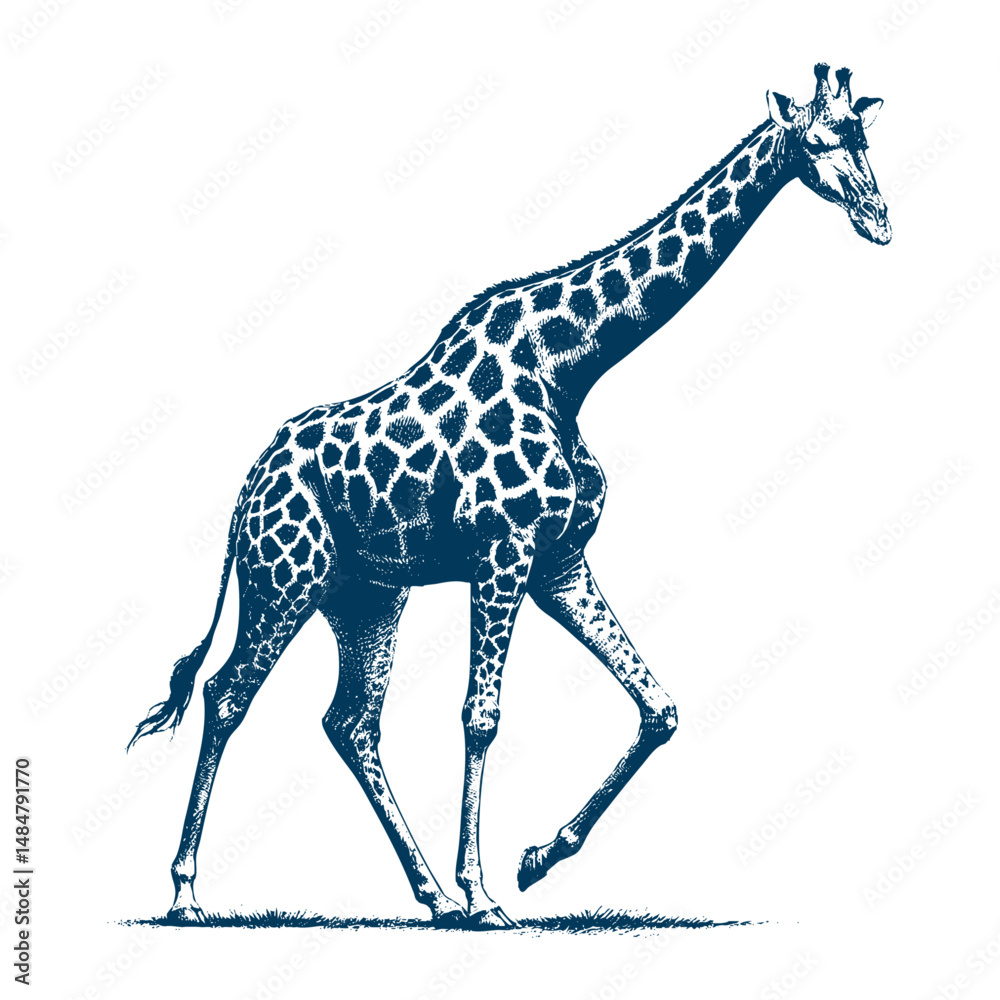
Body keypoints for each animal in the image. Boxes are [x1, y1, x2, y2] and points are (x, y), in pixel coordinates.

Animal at [130, 64, 890, 929]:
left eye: (866, 136)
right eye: (820, 140)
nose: (879, 219)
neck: (569, 368)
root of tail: (247, 486)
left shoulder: (558, 562)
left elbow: (657, 706)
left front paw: (534, 861)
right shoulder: (504, 551)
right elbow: (481, 716)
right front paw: (485, 891)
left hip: (365, 595)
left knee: (350, 722)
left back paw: (427, 894)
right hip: (284, 578)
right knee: (227, 694)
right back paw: (188, 891)